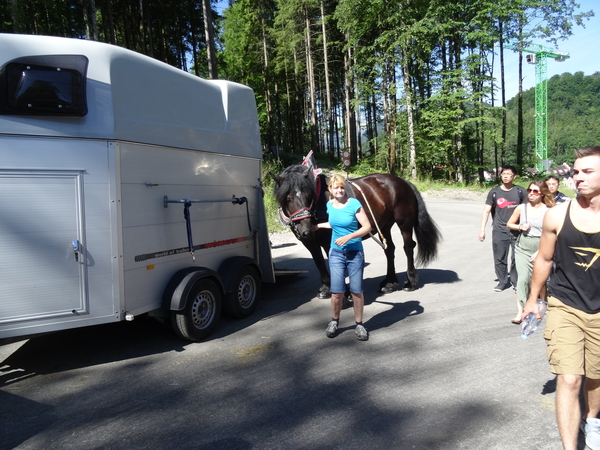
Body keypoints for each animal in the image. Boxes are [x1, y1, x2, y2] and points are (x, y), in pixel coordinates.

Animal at [272, 165, 440, 298]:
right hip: (384, 225)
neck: (319, 203)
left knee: (408, 247)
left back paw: (410, 281)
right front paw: (325, 288)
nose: (306, 230)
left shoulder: (329, 241)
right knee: (389, 249)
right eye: (288, 198)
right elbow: (319, 262)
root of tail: (404, 182)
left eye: (309, 195)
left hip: (404, 224)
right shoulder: (310, 243)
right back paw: (390, 283)